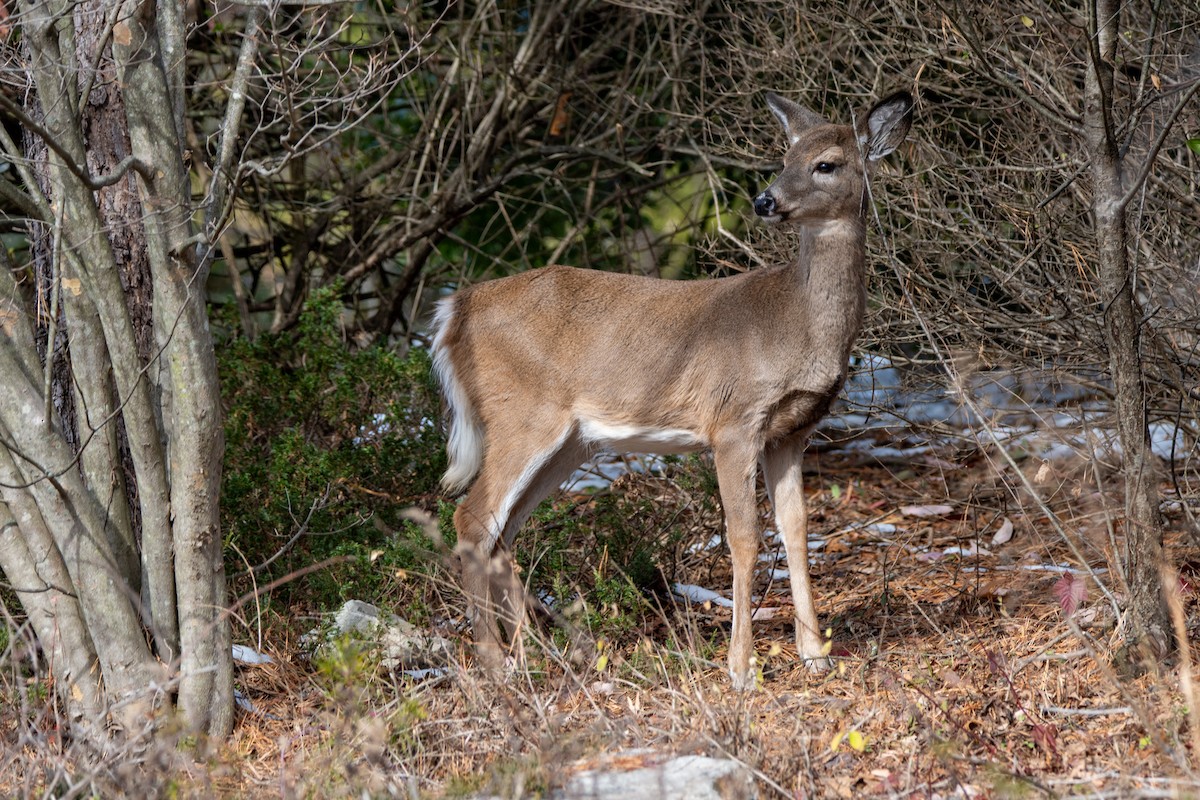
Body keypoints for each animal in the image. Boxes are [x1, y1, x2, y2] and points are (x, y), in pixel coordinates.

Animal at [431, 88, 913, 688]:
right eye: (784, 157)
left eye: (825, 163)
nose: (765, 200)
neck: (797, 323)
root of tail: (454, 309)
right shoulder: (733, 422)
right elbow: (744, 537)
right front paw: (741, 668)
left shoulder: (792, 430)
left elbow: (797, 530)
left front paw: (815, 655)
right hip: (522, 415)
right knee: (472, 519)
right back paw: (497, 665)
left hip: (570, 443)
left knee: (503, 532)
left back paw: (542, 657)